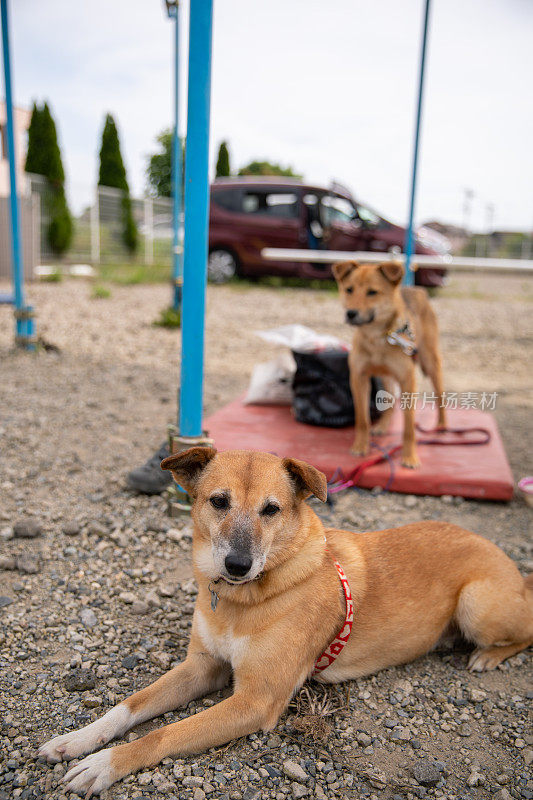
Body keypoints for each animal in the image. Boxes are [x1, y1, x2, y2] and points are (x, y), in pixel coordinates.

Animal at [38, 450, 532, 792]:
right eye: (218, 502)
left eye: (271, 509)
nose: (237, 565)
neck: (243, 599)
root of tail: (509, 564)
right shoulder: (201, 667)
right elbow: (130, 705)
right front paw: (79, 739)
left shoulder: (255, 701)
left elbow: (161, 735)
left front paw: (105, 764)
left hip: (476, 604)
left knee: (524, 630)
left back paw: (487, 657)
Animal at [332, 256, 444, 468]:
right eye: (349, 289)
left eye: (372, 292)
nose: (351, 313)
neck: (377, 338)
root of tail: (417, 289)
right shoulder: (359, 378)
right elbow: (362, 420)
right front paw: (361, 446)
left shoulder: (408, 381)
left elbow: (409, 427)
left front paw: (409, 456)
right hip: (385, 376)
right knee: (390, 401)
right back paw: (383, 425)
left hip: (430, 362)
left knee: (440, 396)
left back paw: (442, 425)